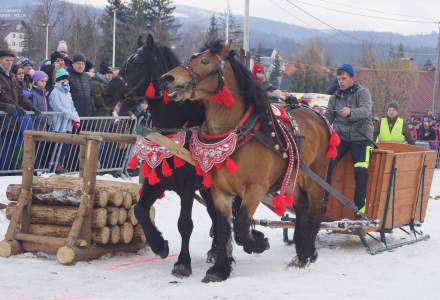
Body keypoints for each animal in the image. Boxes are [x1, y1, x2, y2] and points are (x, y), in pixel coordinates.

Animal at [123, 34, 227, 276]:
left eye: (139, 62)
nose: (107, 91)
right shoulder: (156, 181)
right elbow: (140, 210)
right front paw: (159, 245)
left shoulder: (187, 187)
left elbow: (185, 224)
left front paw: (182, 262)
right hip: (207, 188)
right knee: (214, 214)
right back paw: (215, 249)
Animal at [160, 41, 332, 282]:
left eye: (204, 61)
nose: (168, 78)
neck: (237, 134)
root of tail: (317, 114)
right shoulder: (219, 191)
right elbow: (223, 229)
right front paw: (219, 270)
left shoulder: (255, 189)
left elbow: (241, 226)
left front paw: (258, 242)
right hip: (295, 178)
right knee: (302, 207)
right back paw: (300, 254)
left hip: (315, 176)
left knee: (316, 210)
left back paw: (308, 252)